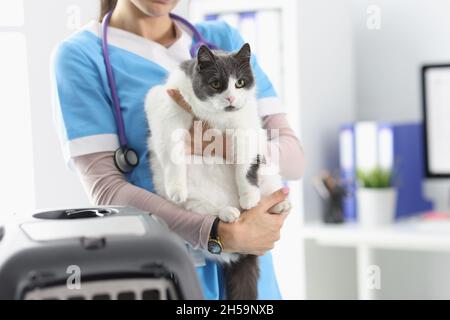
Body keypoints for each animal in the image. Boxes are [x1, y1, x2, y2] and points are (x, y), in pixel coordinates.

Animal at [146, 43, 290, 298]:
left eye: (240, 82)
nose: (230, 98)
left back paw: (278, 204)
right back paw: (226, 213)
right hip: (192, 201)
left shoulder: (246, 125)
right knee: (201, 209)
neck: (216, 117)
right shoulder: (165, 103)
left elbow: (245, 163)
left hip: (269, 173)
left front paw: (249, 196)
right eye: (215, 84)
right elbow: (170, 150)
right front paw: (176, 187)